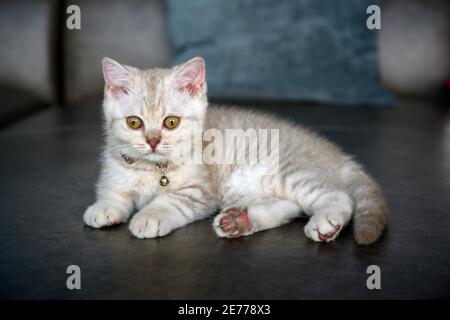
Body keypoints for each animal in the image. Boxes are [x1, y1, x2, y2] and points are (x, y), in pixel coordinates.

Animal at [85, 56, 390, 244]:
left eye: (171, 122)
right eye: (134, 122)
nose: (152, 141)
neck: (153, 169)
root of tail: (331, 150)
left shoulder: (201, 191)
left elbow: (170, 200)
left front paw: (149, 217)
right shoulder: (115, 169)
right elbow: (113, 191)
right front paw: (104, 207)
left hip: (286, 172)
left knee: (337, 196)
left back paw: (327, 223)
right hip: (240, 187)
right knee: (291, 206)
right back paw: (241, 221)